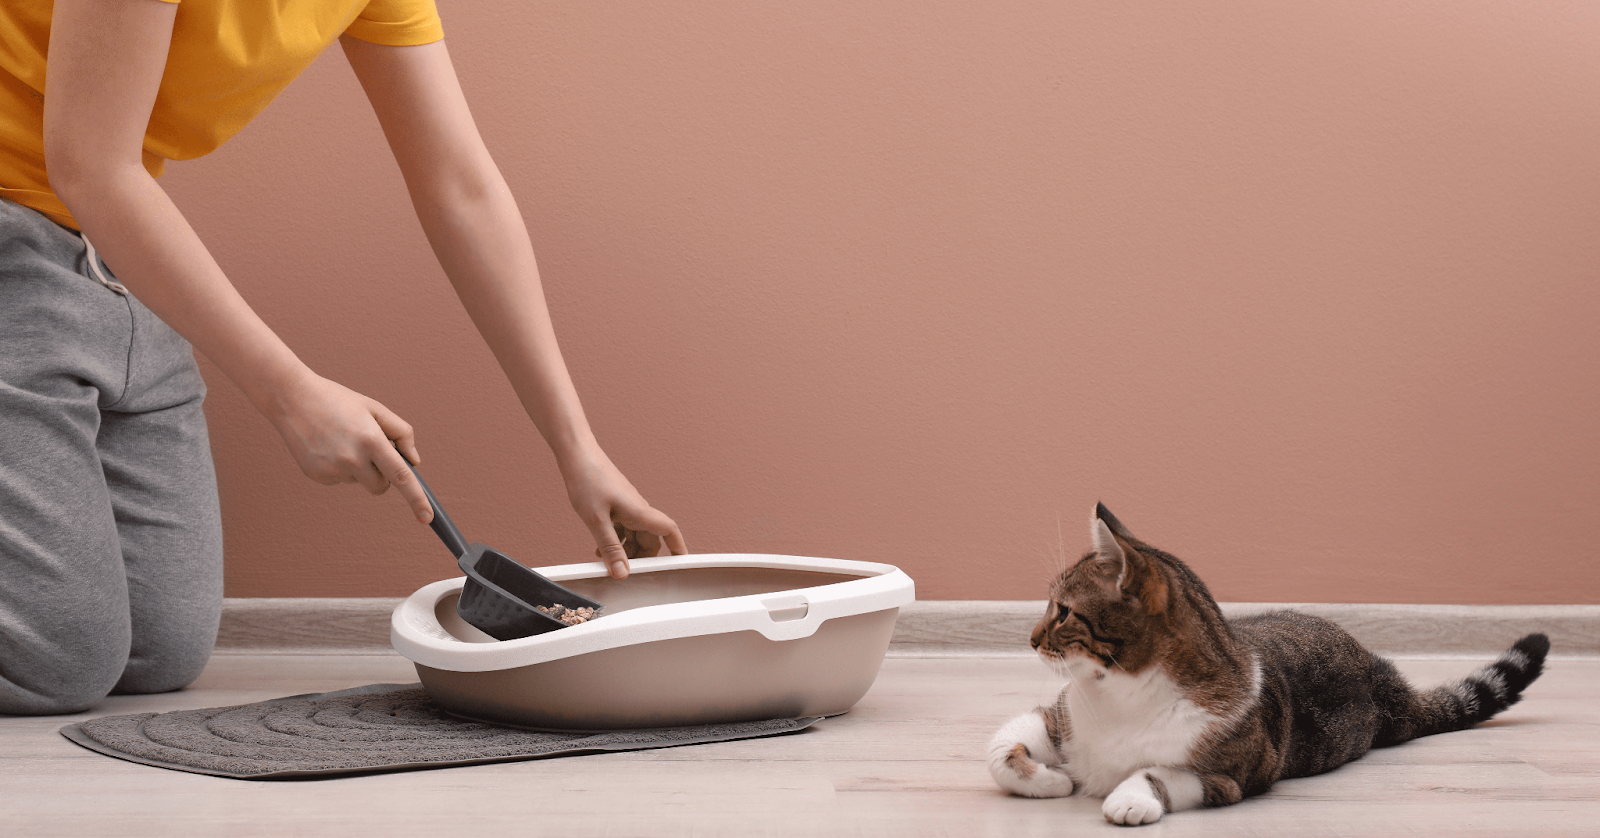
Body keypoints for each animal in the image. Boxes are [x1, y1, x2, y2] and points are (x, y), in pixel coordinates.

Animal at [985, 505, 1548, 825]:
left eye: (1062, 611)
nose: (1030, 639)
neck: (1121, 695)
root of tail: (1383, 678)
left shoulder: (1235, 774)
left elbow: (1159, 772)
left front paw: (1129, 798)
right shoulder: (1057, 715)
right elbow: (997, 750)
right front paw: (1053, 780)